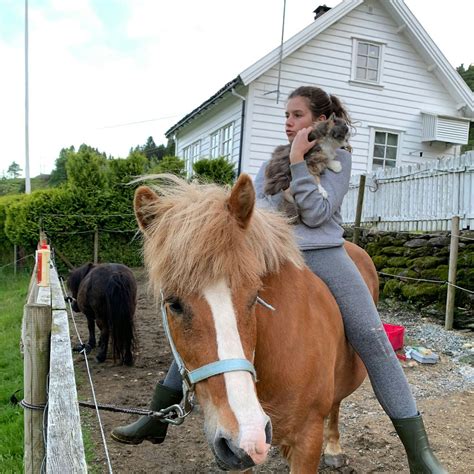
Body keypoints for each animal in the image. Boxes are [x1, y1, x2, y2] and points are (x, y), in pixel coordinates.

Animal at [133, 175, 378, 474]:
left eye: (254, 296)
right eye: (173, 303)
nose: (248, 434)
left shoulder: (307, 440)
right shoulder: (241, 454)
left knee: (336, 403)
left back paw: (333, 448)